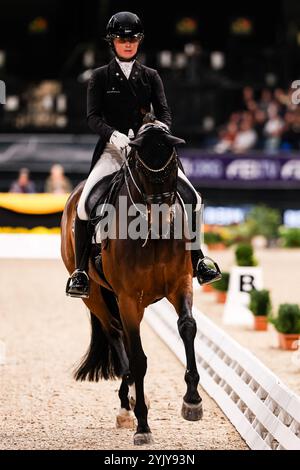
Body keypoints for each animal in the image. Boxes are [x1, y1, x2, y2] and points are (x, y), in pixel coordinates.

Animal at [60, 123, 202, 446]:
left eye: (172, 165)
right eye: (140, 167)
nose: (163, 220)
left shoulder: (180, 285)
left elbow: (187, 327)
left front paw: (192, 401)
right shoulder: (127, 298)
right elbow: (138, 359)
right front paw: (143, 426)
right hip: (96, 297)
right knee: (114, 333)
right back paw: (127, 406)